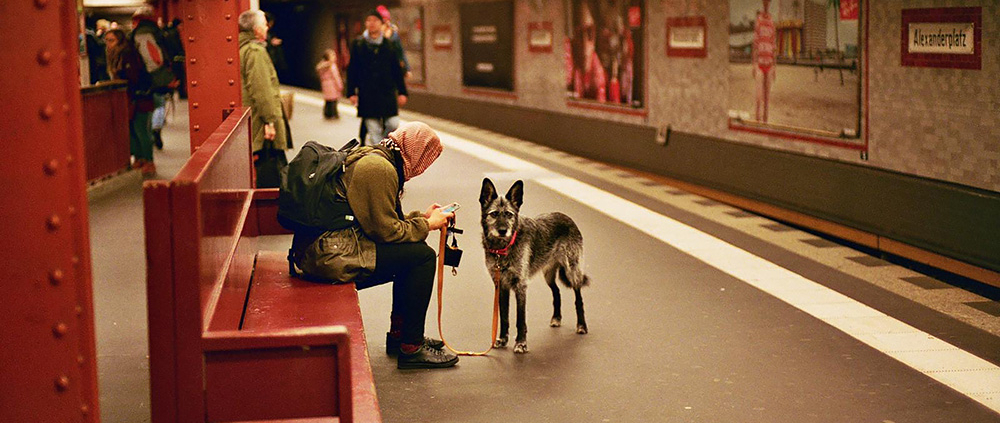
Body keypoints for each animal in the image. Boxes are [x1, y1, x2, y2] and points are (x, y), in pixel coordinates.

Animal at [480, 179, 588, 354]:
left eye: (509, 214)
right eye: (494, 214)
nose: (503, 231)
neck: (503, 249)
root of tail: (566, 217)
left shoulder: (520, 286)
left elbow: (520, 319)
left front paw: (521, 343)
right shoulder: (501, 286)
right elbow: (504, 317)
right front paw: (502, 340)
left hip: (573, 272)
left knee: (578, 298)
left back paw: (582, 326)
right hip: (548, 275)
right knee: (556, 292)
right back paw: (556, 318)